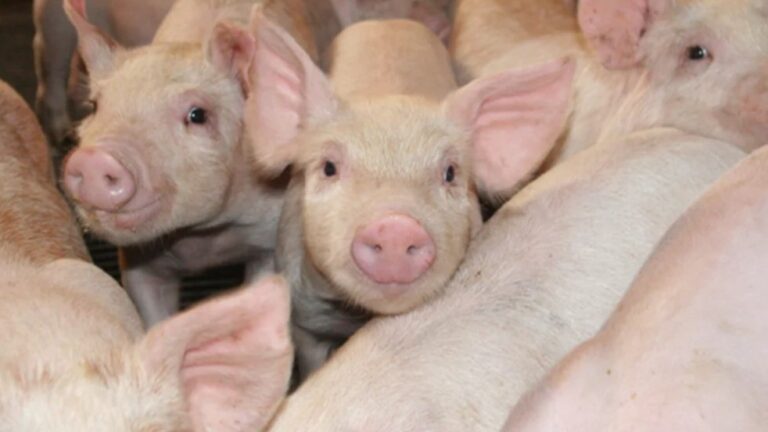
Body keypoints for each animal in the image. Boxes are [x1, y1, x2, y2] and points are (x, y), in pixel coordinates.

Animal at [59, 0, 320, 327]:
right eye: (95, 106)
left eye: (197, 115)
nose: (93, 160)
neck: (203, 241)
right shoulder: (137, 260)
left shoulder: (270, 237)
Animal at [243, 12, 574, 379]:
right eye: (329, 167)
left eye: (450, 173)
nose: (395, 227)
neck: (359, 316)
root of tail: (386, 20)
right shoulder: (303, 314)